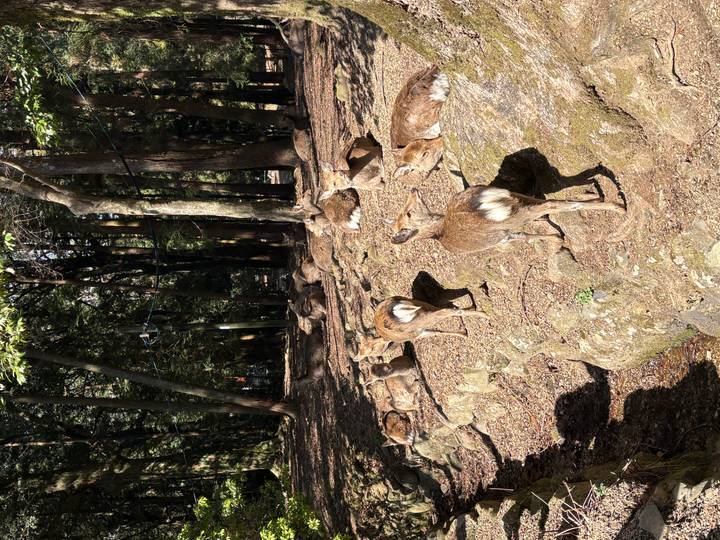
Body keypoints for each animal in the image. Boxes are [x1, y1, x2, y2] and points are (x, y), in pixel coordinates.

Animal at [391, 186, 626, 253]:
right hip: (513, 200)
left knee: (550, 204)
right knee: (547, 199)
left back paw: (619, 208)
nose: (413, 189)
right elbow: (527, 235)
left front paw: (557, 238)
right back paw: (603, 197)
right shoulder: (505, 235)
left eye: (407, 213)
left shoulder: (503, 236)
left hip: (512, 215)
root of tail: (482, 203)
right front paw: (556, 237)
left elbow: (526, 236)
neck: (439, 232)